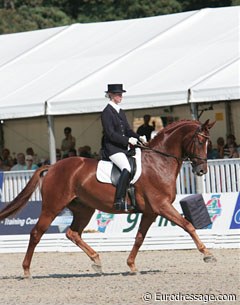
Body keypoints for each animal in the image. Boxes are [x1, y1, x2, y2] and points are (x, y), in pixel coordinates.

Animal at [0, 120, 216, 276]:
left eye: (208, 143)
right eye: (199, 141)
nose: (202, 170)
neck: (159, 162)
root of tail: (52, 166)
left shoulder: (151, 211)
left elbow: (139, 238)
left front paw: (131, 265)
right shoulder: (161, 206)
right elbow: (188, 225)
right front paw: (207, 254)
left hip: (84, 208)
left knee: (73, 233)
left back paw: (96, 261)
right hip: (52, 207)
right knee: (36, 233)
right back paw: (26, 271)